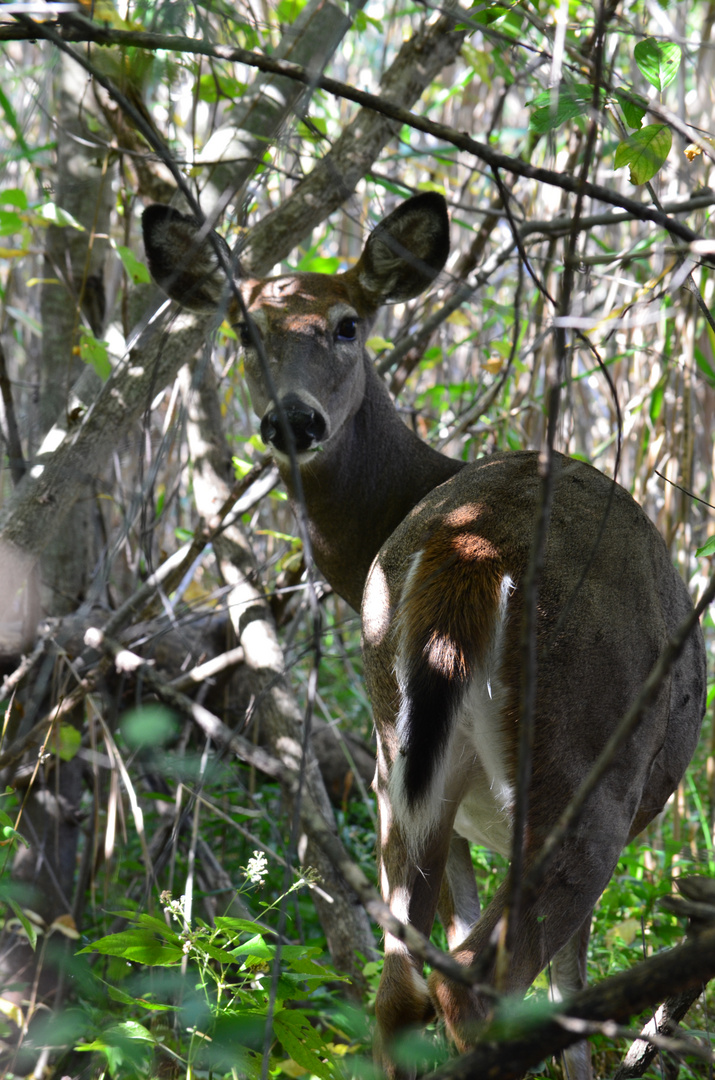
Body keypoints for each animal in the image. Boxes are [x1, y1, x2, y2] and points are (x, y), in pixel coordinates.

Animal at [142, 196, 708, 1080]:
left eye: (346, 324)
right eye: (242, 329)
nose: (291, 419)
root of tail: (468, 551)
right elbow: (572, 990)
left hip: (394, 760)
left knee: (401, 994)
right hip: (585, 768)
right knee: (483, 982)